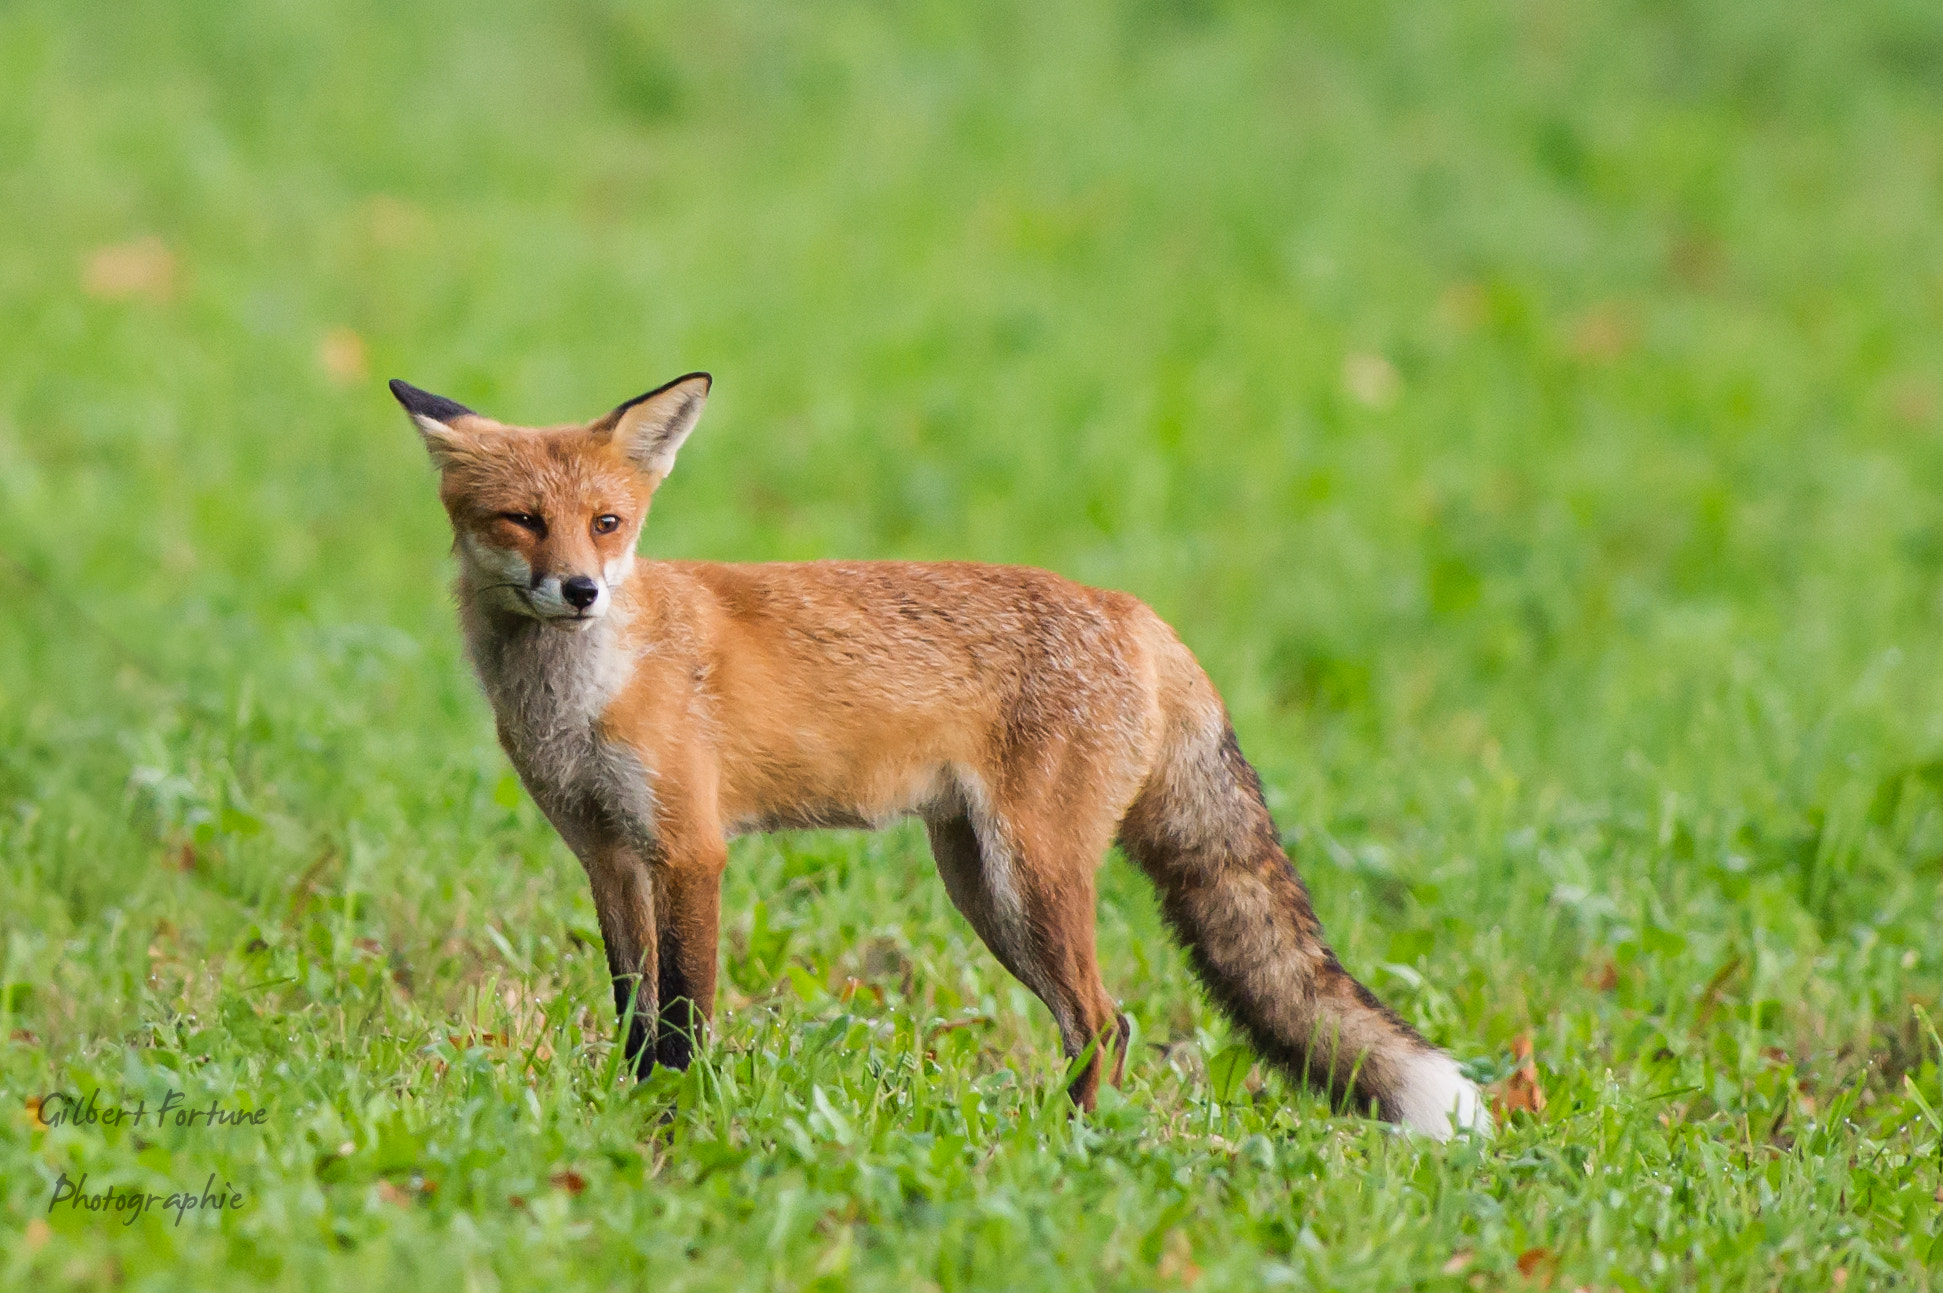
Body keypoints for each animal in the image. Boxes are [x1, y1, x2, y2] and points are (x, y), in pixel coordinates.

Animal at [391, 372, 1489, 1139]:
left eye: (607, 523)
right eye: (522, 520)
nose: (580, 590)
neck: (582, 694)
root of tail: (1134, 611)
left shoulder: (692, 848)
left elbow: (684, 1015)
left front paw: (682, 1120)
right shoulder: (608, 854)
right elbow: (632, 1015)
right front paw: (629, 1114)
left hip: (1028, 878)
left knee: (1106, 1020)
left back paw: (1070, 1150)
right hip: (982, 886)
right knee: (1096, 1023)